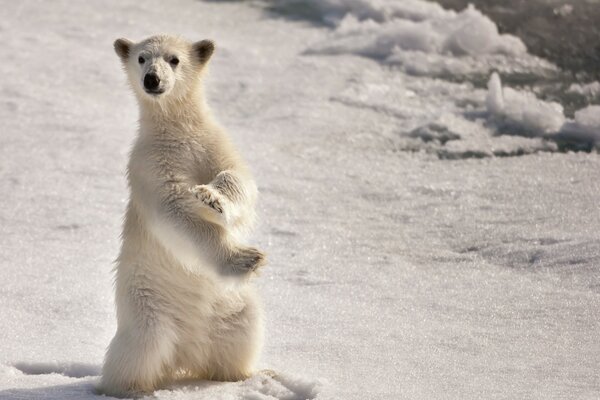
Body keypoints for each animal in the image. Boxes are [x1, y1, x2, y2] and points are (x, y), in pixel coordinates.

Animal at [99, 34, 268, 396]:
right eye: (141, 58)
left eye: (174, 59)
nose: (152, 79)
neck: (176, 130)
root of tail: (186, 353)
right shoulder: (150, 164)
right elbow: (175, 210)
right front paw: (246, 258)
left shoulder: (212, 143)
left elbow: (238, 178)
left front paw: (213, 199)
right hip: (147, 305)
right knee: (140, 350)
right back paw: (128, 388)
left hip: (231, 307)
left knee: (242, 332)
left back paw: (243, 376)